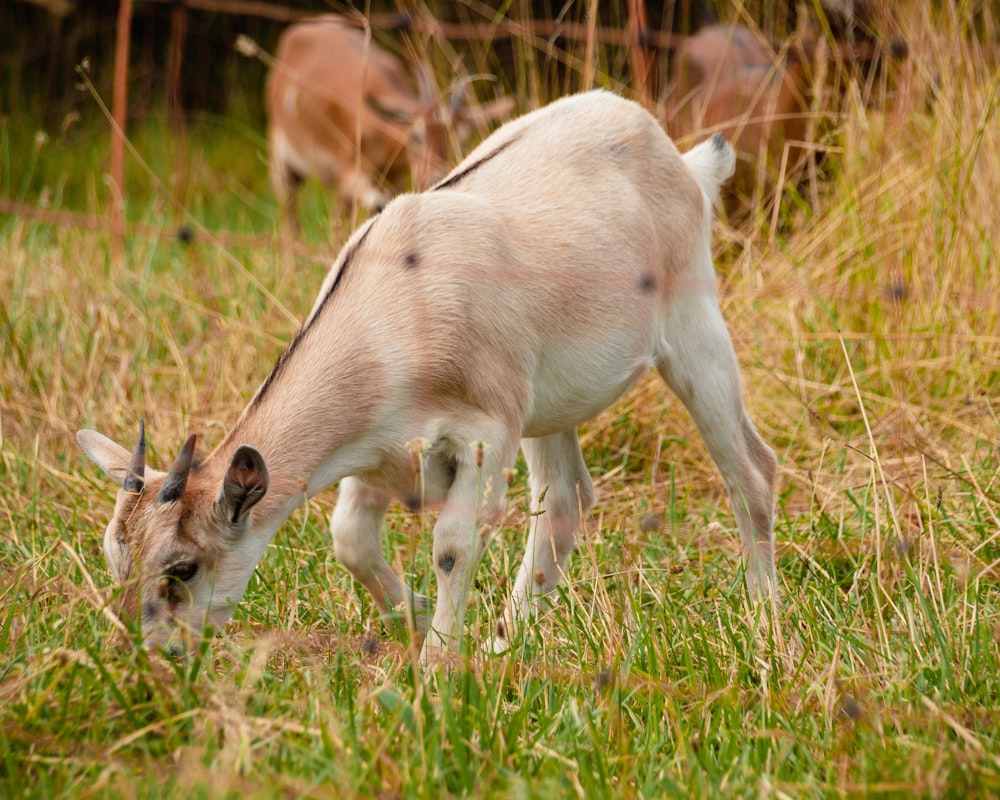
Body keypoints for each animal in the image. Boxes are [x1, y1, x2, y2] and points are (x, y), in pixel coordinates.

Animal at [78, 89, 780, 664]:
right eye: (116, 560)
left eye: (183, 568)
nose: (152, 655)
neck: (397, 312)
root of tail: (687, 162)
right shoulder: (378, 451)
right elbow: (349, 539)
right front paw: (418, 619)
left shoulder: (484, 434)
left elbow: (452, 545)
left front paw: (439, 663)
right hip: (547, 403)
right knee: (565, 499)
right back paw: (507, 639)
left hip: (693, 329)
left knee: (751, 470)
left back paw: (766, 624)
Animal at [268, 15, 512, 228]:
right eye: (415, 137)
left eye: (461, 140)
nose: (434, 176)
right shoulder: (351, 172)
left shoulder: (394, 179)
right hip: (283, 163)